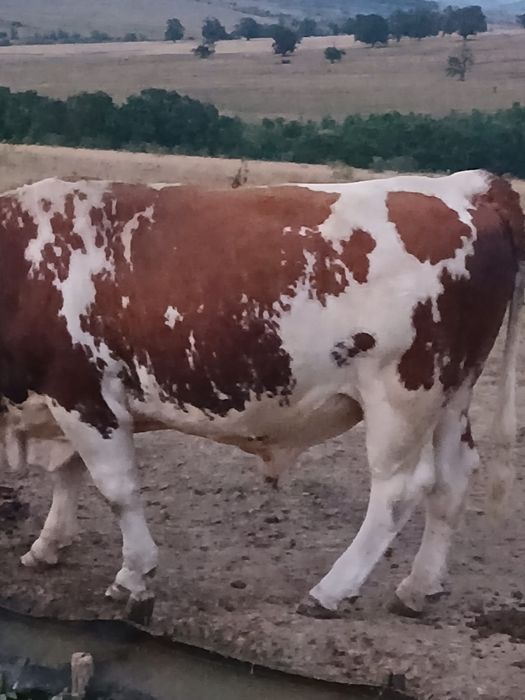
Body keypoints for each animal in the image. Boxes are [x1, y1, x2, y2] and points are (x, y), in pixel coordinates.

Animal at [0, 170, 523, 622]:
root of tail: (469, 184)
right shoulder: (62, 402)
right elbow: (68, 475)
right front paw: (47, 546)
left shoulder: (84, 396)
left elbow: (116, 489)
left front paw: (133, 574)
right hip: (454, 392)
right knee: (453, 478)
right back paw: (418, 588)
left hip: (402, 395)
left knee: (400, 489)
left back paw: (331, 591)